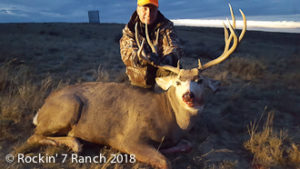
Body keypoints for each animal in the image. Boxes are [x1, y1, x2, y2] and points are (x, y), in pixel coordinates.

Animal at [27, 4, 246, 169]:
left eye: (199, 81)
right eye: (177, 82)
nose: (188, 96)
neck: (170, 118)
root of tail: (41, 109)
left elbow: (187, 145)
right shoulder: (128, 138)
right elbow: (165, 162)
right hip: (68, 107)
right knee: (33, 137)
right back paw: (75, 143)